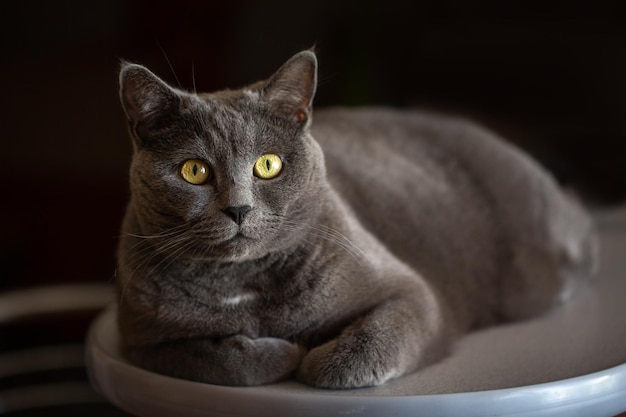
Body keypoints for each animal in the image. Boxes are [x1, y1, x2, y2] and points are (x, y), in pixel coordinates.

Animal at [116, 50, 596, 388]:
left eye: (268, 165)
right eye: (194, 171)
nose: (239, 208)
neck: (241, 284)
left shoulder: (411, 292)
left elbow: (359, 350)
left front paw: (311, 357)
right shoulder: (138, 341)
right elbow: (214, 360)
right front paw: (280, 352)